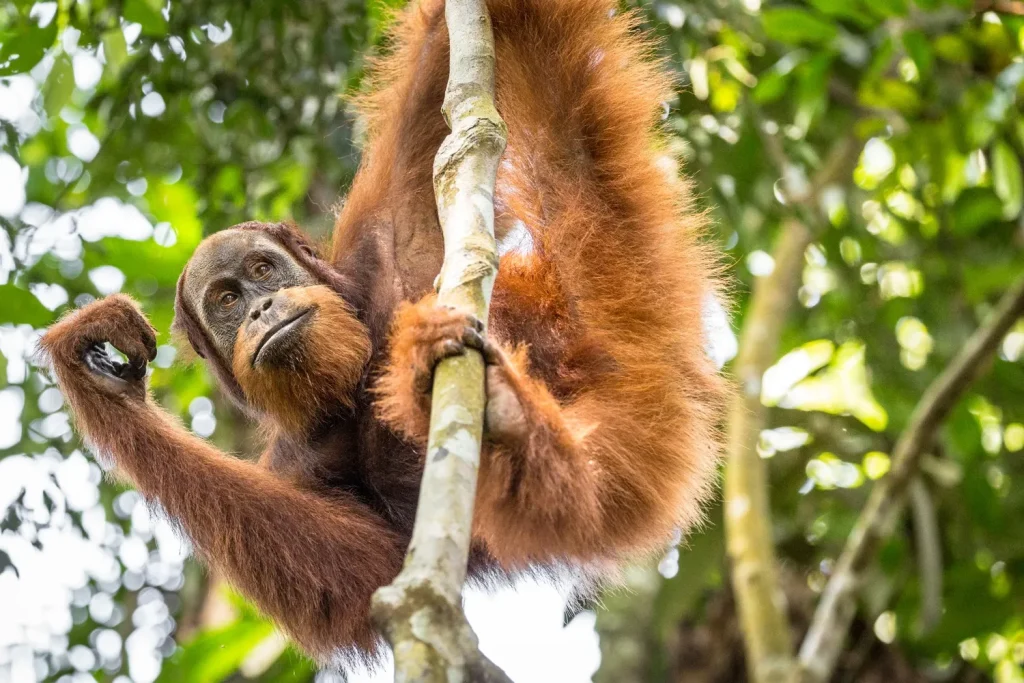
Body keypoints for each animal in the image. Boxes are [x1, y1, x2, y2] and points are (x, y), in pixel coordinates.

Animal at [39, 0, 728, 666]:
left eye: (262, 270)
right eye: (228, 301)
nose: (263, 310)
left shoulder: (384, 231)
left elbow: (434, 67)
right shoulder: (297, 463)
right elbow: (358, 573)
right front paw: (99, 381)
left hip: (618, 303)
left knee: (572, 145)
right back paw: (509, 422)